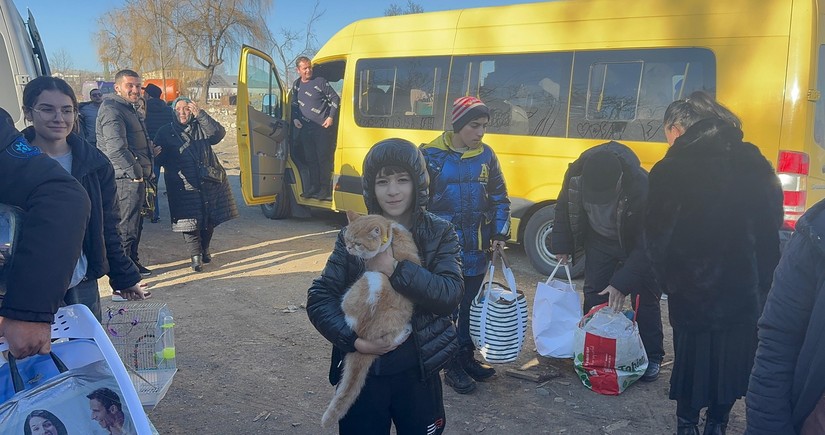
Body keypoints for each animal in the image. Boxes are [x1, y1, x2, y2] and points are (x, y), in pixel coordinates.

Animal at [322, 211, 422, 430]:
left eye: (358, 244)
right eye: (347, 240)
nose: (349, 248)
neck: (390, 232)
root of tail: (364, 332)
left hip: (369, 280)